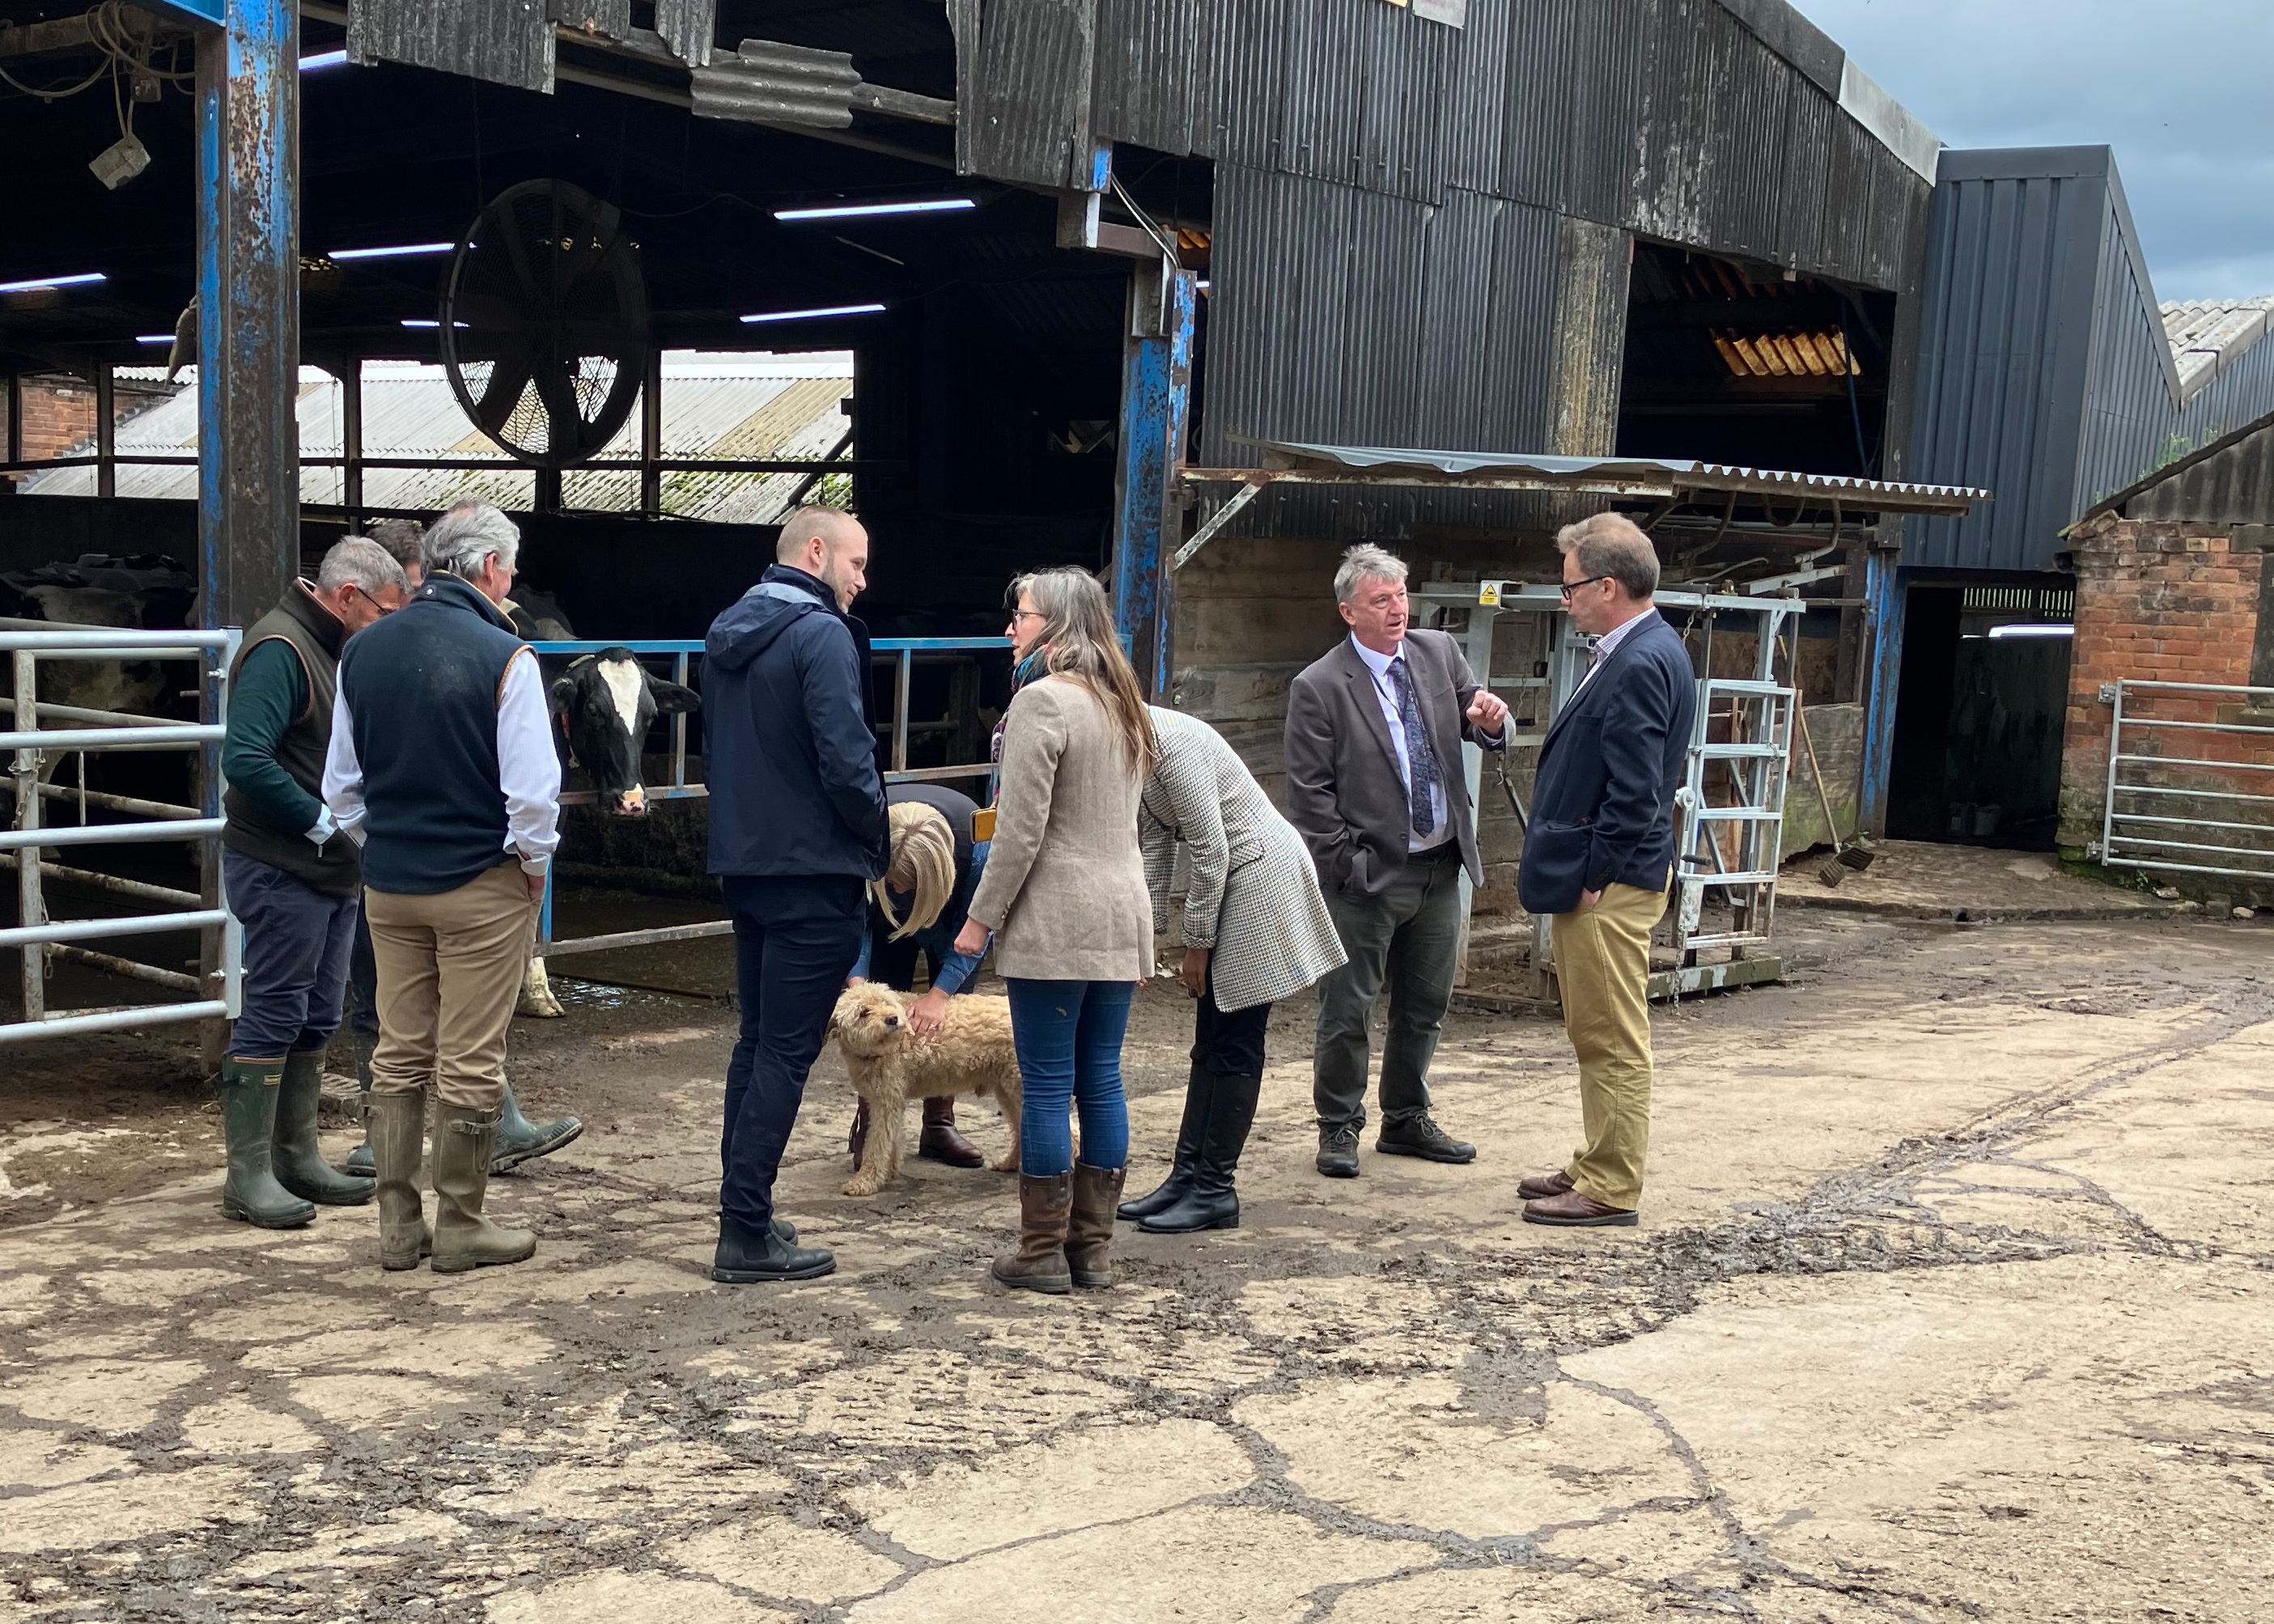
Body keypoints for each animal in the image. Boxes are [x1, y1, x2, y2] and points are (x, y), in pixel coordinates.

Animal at [827, 982, 1023, 1191]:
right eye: (864, 1012)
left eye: (886, 1002)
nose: (893, 1018)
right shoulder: (889, 1099)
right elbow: (892, 1138)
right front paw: (888, 1171)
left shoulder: (886, 1102)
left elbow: (877, 1144)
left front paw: (865, 1182)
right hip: (1005, 1091)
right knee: (1019, 1127)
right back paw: (1010, 1162)